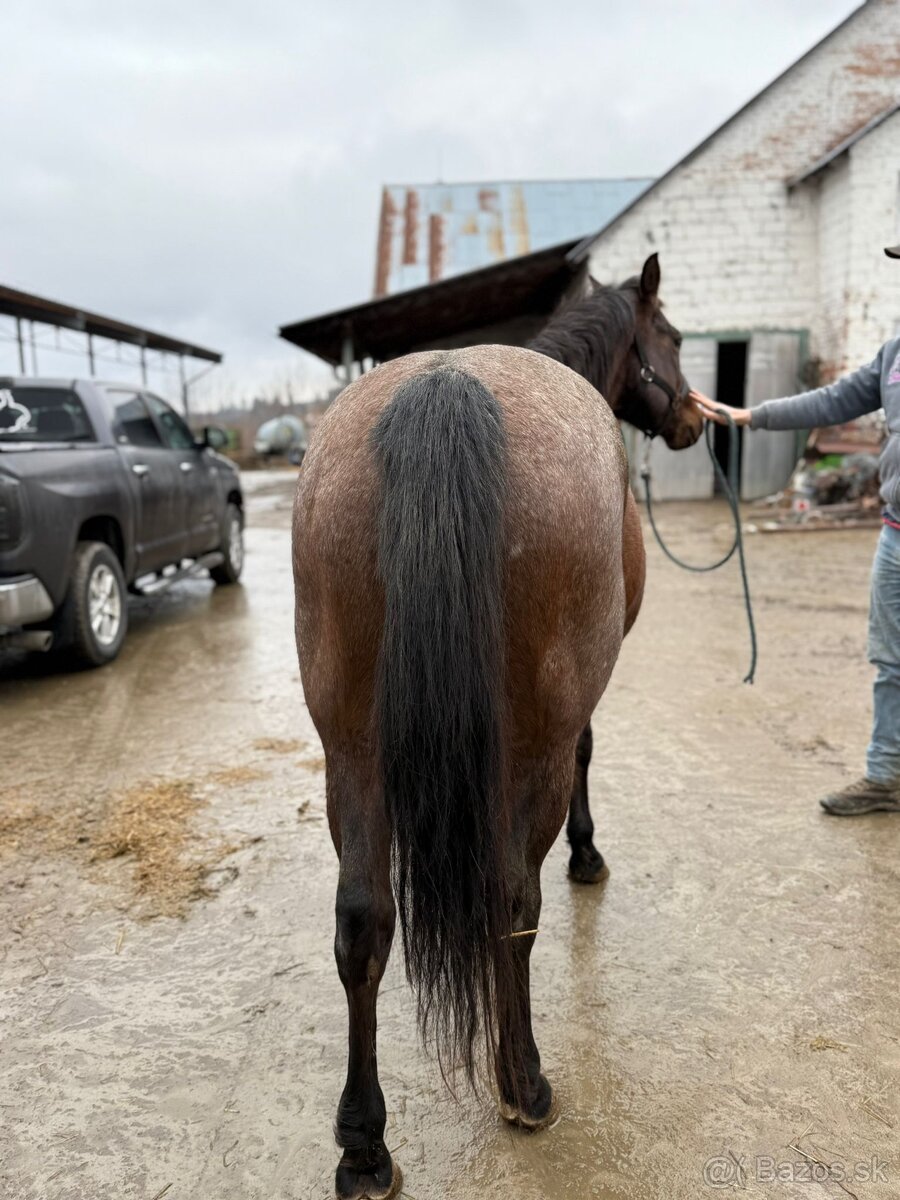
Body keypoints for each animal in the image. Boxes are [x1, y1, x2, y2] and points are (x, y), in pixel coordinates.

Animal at [292, 253, 700, 1200]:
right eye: (672, 335)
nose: (698, 419)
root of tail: (446, 388)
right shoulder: (573, 713)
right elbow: (587, 756)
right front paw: (590, 855)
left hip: (350, 751)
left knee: (362, 922)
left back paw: (364, 1147)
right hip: (526, 748)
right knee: (516, 899)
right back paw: (524, 1082)